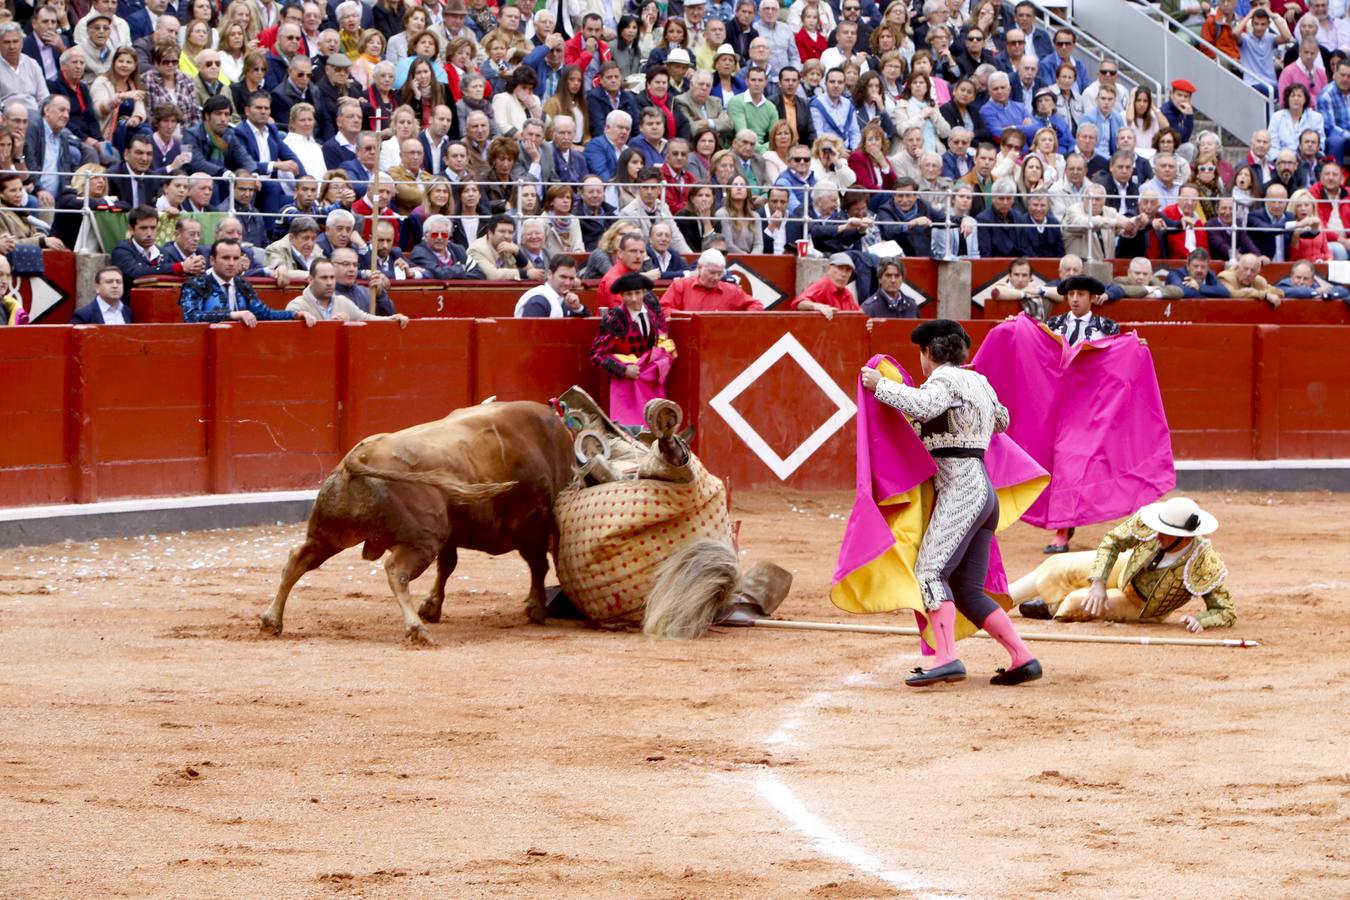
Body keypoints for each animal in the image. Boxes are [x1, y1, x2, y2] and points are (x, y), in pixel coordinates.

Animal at [259, 399, 575, 639]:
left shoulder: (454, 533)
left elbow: (447, 566)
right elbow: (538, 565)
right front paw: (536, 608)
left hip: (330, 533)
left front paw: (431, 607)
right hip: (422, 540)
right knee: (396, 571)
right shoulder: (532, 524)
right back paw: (416, 629)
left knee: (299, 559)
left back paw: (271, 620)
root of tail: (360, 456)